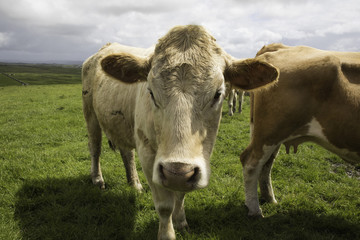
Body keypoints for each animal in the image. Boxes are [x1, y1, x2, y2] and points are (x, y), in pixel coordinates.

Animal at [81, 25, 278, 239]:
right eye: (151, 92)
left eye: (218, 94)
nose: (177, 172)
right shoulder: (148, 154)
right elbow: (164, 205)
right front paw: (167, 233)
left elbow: (180, 194)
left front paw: (181, 220)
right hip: (90, 114)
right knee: (95, 147)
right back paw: (97, 179)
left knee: (127, 153)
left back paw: (134, 183)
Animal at [239, 43, 360, 218]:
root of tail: (281, 47)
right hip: (269, 133)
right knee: (251, 163)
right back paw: (255, 210)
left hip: (272, 134)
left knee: (266, 165)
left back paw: (270, 199)